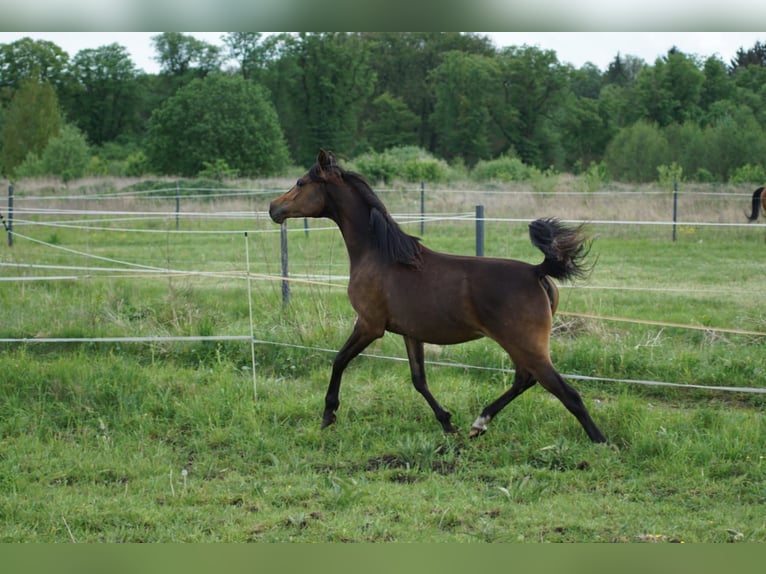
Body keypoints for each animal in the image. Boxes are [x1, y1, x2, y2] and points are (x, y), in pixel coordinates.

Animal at [270, 151, 608, 444]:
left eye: (301, 183)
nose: (273, 208)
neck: (379, 255)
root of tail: (537, 271)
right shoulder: (410, 332)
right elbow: (419, 379)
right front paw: (448, 423)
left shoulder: (369, 325)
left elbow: (339, 360)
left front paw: (328, 415)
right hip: (522, 346)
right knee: (525, 379)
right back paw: (479, 424)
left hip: (525, 344)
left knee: (564, 391)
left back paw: (600, 441)